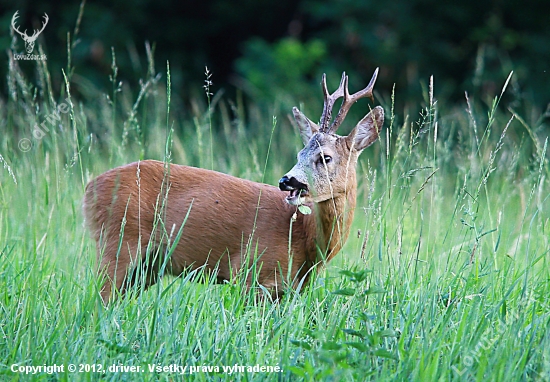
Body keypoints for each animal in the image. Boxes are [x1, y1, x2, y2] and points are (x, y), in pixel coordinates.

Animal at [84, 68, 386, 302]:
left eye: (325, 157)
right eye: (299, 154)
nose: (286, 181)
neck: (303, 236)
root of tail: (89, 189)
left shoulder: (289, 290)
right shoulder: (250, 272)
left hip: (144, 268)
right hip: (118, 243)